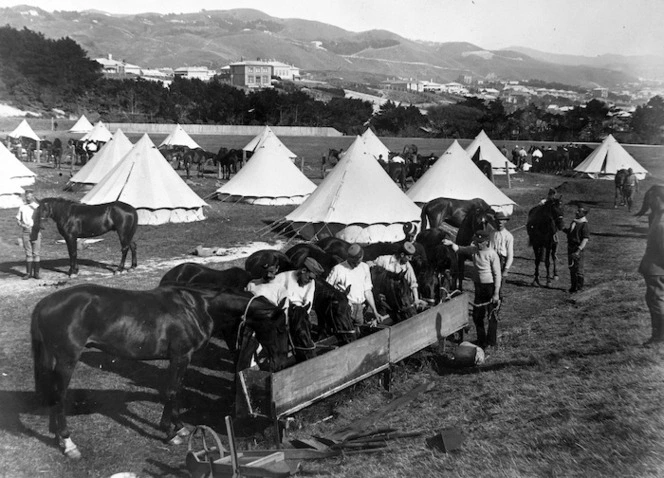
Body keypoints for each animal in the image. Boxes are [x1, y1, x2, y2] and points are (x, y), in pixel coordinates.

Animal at [31, 284, 288, 460]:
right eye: (279, 328)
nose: (280, 362)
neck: (197, 308)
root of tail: (44, 304)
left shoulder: (182, 359)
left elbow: (178, 390)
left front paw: (180, 427)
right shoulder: (180, 356)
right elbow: (172, 391)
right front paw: (170, 432)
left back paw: (57, 435)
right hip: (66, 361)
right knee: (59, 396)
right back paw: (68, 443)